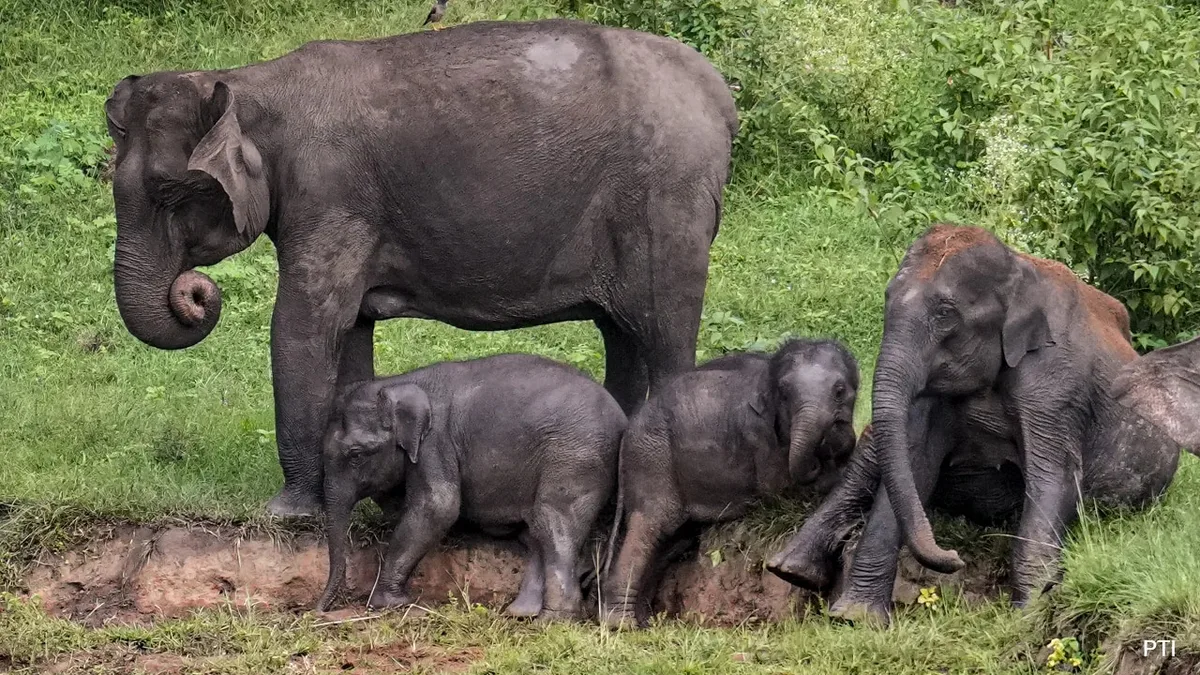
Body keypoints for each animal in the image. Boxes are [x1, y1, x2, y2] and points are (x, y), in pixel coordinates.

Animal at [102, 18, 738, 517]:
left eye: (166, 191)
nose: (194, 292)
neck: (246, 83)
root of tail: (719, 92)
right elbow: (351, 331)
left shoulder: (330, 193)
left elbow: (303, 325)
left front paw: (288, 513)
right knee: (621, 334)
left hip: (666, 201)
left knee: (664, 333)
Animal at [316, 353, 626, 621]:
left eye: (356, 455)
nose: (317, 610)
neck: (398, 382)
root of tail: (623, 420)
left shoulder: (435, 441)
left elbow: (438, 506)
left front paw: (388, 603)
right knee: (535, 532)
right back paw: (522, 612)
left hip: (574, 457)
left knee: (550, 521)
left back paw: (551, 620)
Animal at [600, 338, 860, 628]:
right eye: (784, 393)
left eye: (840, 390)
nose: (836, 431)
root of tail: (627, 431)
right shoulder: (758, 434)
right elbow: (782, 492)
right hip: (652, 458)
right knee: (649, 528)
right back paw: (622, 625)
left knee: (672, 539)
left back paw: (647, 620)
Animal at [767, 223, 1198, 624]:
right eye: (886, 301)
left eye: (945, 314)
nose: (954, 557)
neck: (1019, 269)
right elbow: (913, 465)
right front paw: (855, 619)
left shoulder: (1055, 384)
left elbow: (1053, 476)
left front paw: (1029, 617)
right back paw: (790, 569)